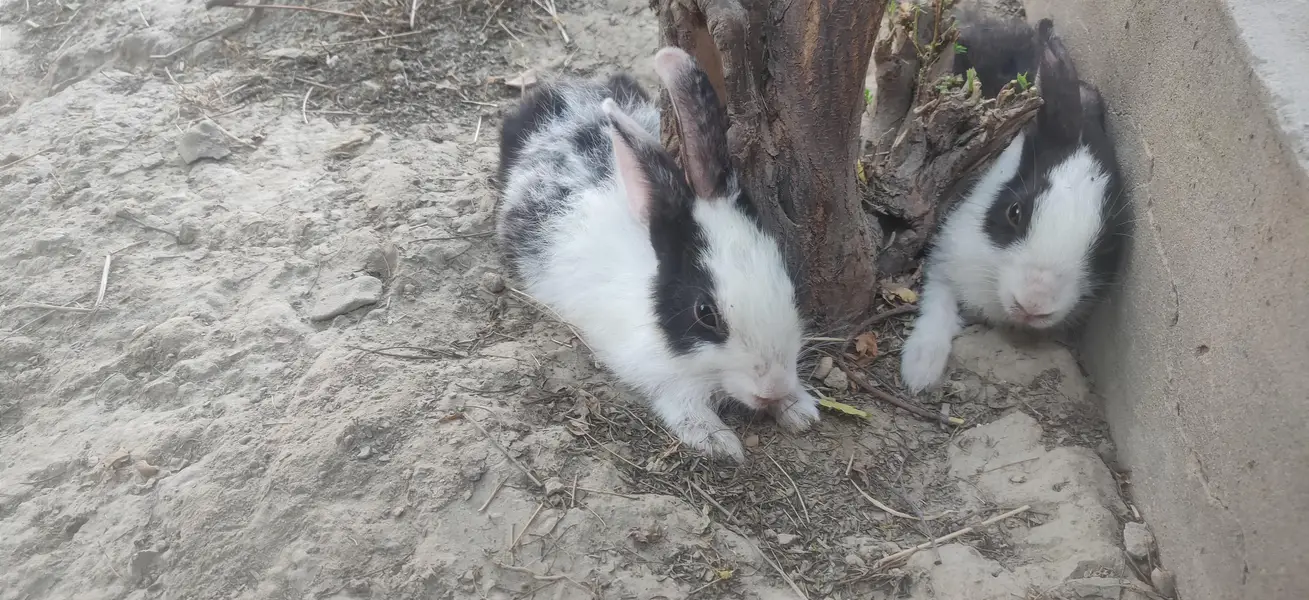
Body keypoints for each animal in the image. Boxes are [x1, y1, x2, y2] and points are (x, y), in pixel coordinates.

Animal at [495, 47, 820, 462]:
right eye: (705, 314)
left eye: (788, 285)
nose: (773, 387)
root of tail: (561, 92)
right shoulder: (661, 377)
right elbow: (682, 405)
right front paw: (719, 442)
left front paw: (800, 410)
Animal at [900, 17, 1132, 393]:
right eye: (1015, 212)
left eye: (1107, 244)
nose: (1034, 304)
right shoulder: (946, 251)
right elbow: (937, 304)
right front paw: (920, 369)